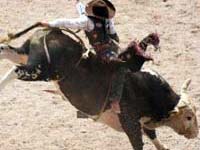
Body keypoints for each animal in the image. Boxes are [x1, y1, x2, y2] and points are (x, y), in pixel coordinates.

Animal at [0, 22, 198, 149]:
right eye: (189, 117)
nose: (196, 134)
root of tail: (52, 30)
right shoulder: (130, 121)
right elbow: (139, 140)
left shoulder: (142, 122)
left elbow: (153, 136)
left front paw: (163, 147)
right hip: (41, 71)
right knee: (16, 70)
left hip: (27, 56)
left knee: (8, 53)